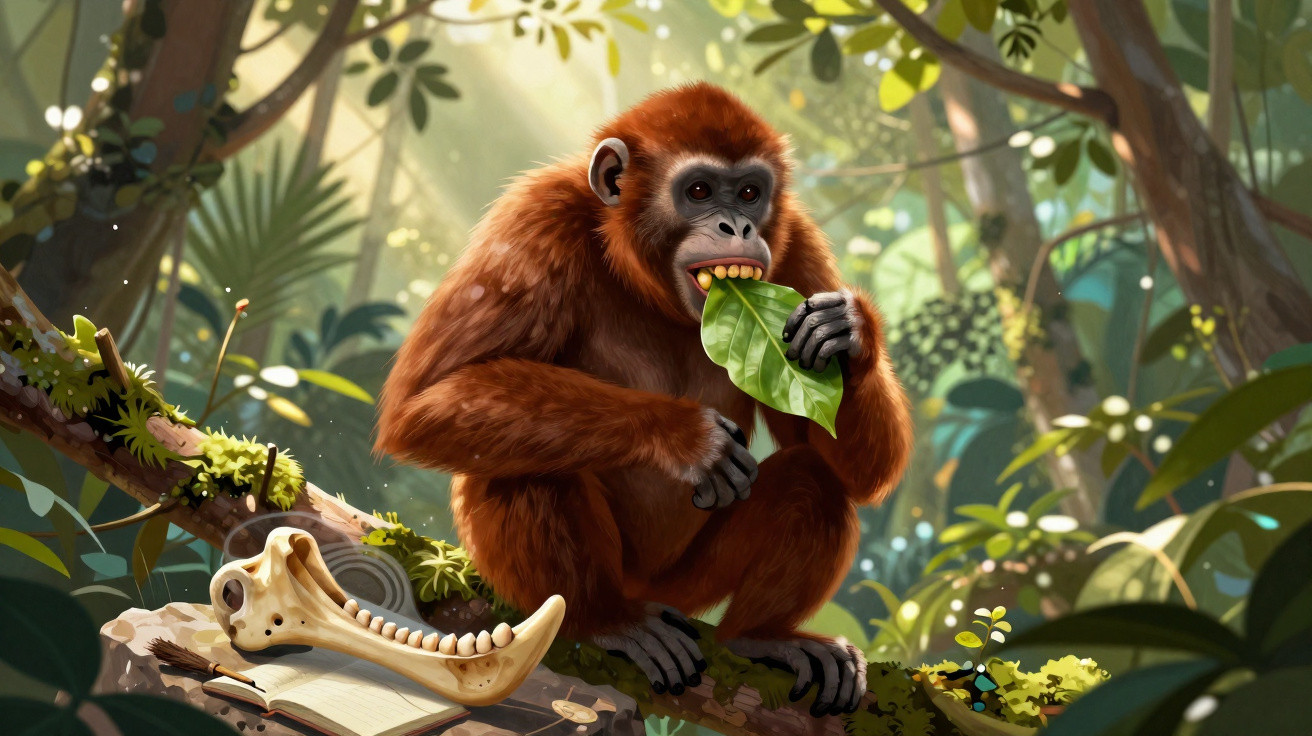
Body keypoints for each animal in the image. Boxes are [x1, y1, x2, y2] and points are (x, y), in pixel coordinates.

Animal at [376, 83, 912, 716]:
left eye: (750, 193)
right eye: (699, 190)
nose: (737, 226)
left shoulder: (794, 241)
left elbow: (854, 468)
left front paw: (848, 332)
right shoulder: (536, 217)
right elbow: (425, 403)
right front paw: (685, 437)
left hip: (686, 584)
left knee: (816, 481)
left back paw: (760, 638)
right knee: (523, 467)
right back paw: (604, 621)